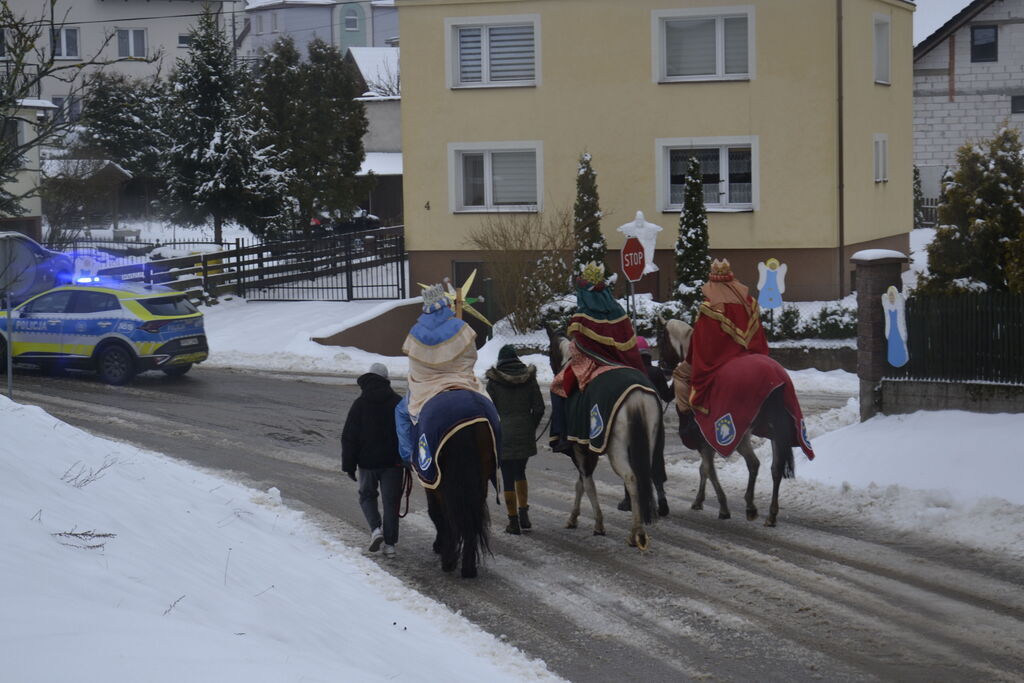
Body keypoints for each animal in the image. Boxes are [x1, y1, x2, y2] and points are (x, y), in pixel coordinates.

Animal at [548, 327, 667, 548]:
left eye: (550, 352)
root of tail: (637, 395)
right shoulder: (589, 446)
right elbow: (580, 484)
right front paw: (574, 518)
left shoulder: (580, 448)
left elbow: (587, 484)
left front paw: (597, 524)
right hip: (648, 443)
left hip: (617, 449)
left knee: (631, 478)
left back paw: (636, 533)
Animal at [659, 317, 802, 528]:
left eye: (661, 340)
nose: (662, 367)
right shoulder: (712, 439)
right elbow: (704, 469)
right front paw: (699, 500)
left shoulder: (705, 439)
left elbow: (708, 470)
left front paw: (723, 507)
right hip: (774, 432)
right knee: (773, 468)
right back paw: (770, 514)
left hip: (740, 433)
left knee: (754, 463)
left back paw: (751, 506)